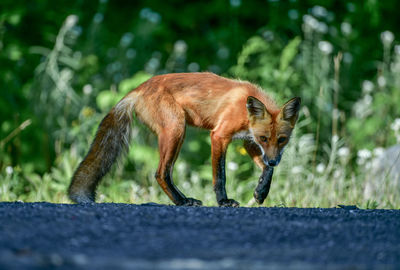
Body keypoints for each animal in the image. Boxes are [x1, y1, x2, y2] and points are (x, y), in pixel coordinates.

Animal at [69, 71, 300, 207]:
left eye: (281, 140)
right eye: (264, 138)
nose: (274, 160)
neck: (243, 108)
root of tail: (139, 88)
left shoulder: (248, 141)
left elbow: (266, 169)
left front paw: (261, 191)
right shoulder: (220, 135)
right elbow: (220, 175)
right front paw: (223, 201)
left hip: (176, 134)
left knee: (166, 172)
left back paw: (183, 199)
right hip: (176, 129)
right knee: (161, 173)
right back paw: (181, 201)